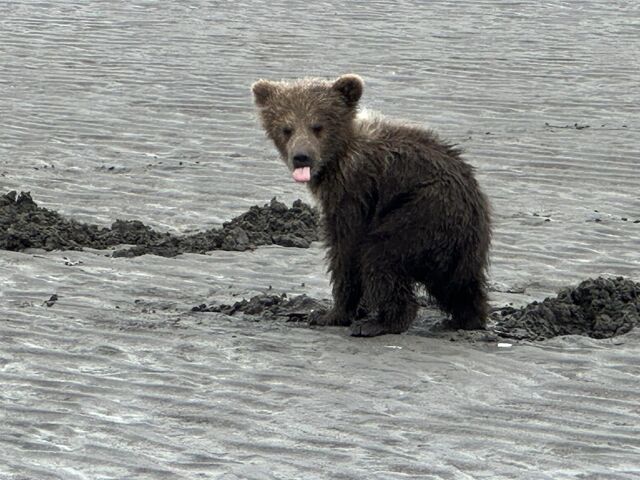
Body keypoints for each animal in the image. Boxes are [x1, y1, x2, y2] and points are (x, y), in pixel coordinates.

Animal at [252, 74, 491, 337]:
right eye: (287, 128)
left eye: (317, 126)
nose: (301, 157)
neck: (338, 156)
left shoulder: (354, 191)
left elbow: (346, 248)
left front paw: (331, 314)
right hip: (458, 247)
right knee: (458, 285)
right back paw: (464, 319)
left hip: (422, 213)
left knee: (381, 255)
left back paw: (382, 322)